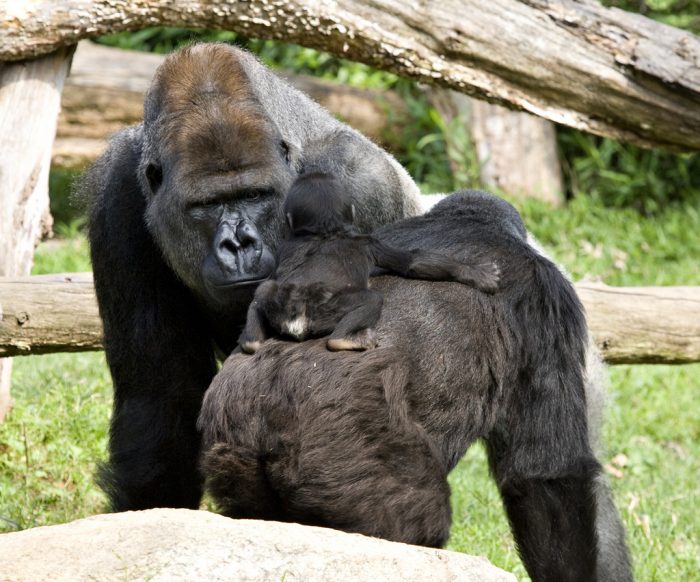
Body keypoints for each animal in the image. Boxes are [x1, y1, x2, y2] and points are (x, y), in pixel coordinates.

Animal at [238, 173, 500, 354]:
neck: (324, 231)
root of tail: (296, 309)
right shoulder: (368, 242)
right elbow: (412, 262)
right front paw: (474, 272)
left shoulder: (286, 245)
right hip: (325, 311)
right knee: (371, 300)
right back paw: (344, 339)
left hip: (278, 304)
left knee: (263, 291)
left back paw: (251, 342)